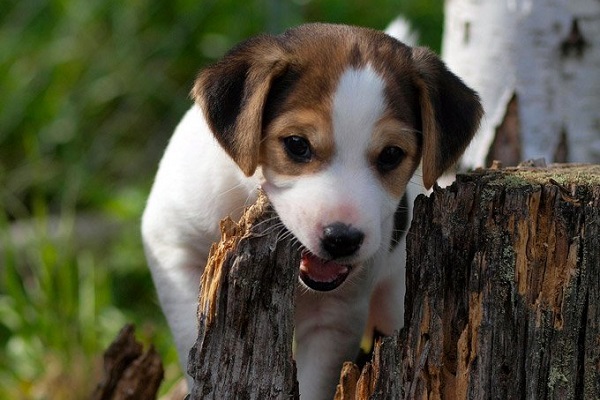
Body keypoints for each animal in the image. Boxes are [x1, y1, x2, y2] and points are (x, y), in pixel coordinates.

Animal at [142, 23, 482, 398]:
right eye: (296, 144)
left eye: (391, 154)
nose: (342, 239)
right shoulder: (173, 250)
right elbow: (192, 333)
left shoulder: (333, 320)